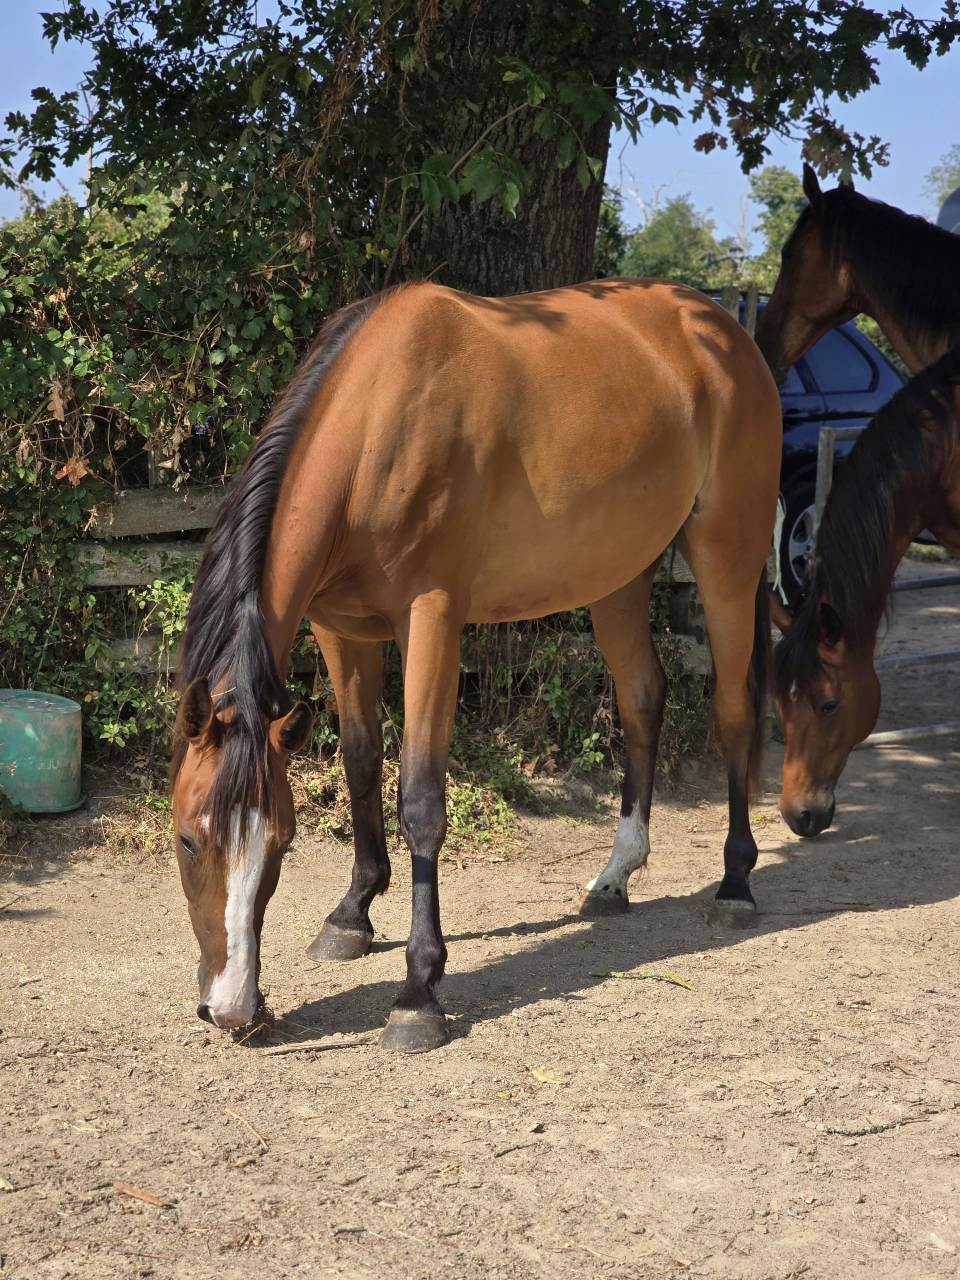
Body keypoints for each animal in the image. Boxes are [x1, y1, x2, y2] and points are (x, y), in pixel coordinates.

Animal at [169, 278, 781, 1053]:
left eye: (280, 841)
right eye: (188, 839)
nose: (233, 1008)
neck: (374, 426)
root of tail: (720, 327)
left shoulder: (431, 621)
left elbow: (420, 798)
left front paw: (417, 993)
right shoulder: (342, 629)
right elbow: (361, 761)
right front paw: (352, 913)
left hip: (727, 556)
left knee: (732, 710)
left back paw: (736, 883)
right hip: (619, 576)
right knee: (643, 698)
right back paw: (615, 878)